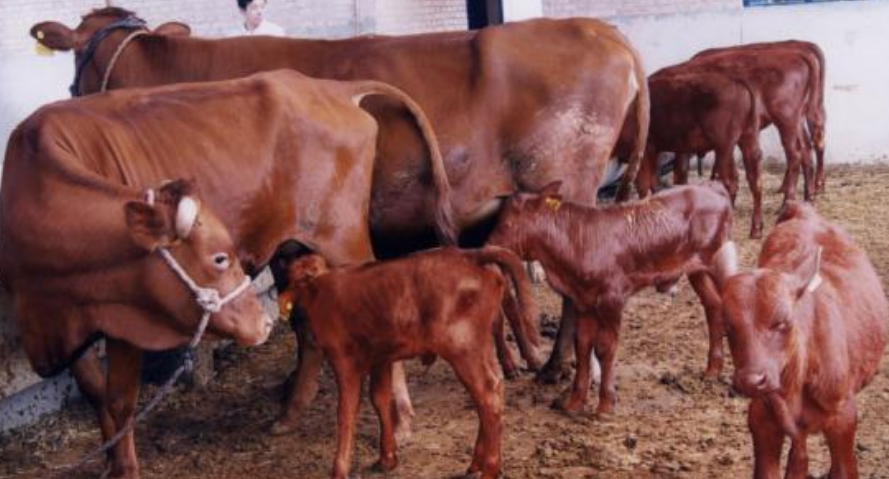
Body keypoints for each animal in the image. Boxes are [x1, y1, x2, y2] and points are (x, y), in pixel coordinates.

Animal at [0, 69, 450, 478]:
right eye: (219, 258)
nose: (260, 324)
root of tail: (327, 87)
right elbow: (95, 393)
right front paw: (109, 461)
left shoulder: (126, 320)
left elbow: (120, 401)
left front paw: (124, 468)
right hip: (290, 248)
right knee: (307, 327)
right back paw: (290, 414)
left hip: (343, 240)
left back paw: (402, 421)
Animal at [278, 248, 540, 479]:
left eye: (303, 278)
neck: (320, 291)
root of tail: (469, 253)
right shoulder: (381, 358)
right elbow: (380, 399)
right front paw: (387, 458)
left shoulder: (344, 361)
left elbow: (346, 413)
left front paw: (339, 470)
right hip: (479, 346)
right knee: (493, 389)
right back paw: (477, 462)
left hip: (462, 348)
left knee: (487, 395)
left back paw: (489, 469)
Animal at [490, 182, 732, 414]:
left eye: (506, 224)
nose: (487, 247)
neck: (577, 240)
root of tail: (713, 189)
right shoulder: (583, 301)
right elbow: (582, 346)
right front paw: (574, 403)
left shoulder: (612, 299)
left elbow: (605, 348)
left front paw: (605, 405)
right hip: (697, 270)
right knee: (713, 305)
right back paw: (712, 370)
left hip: (718, 260)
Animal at [712, 203, 884, 479]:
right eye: (727, 325)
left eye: (783, 321)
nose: (751, 381)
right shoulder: (762, 418)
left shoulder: (843, 417)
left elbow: (843, 469)